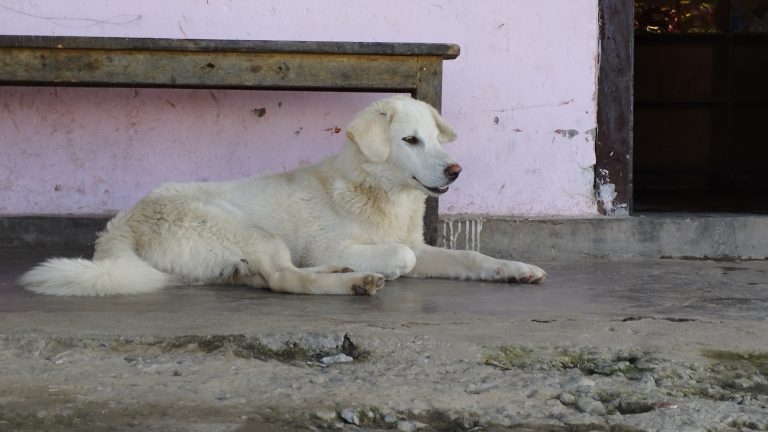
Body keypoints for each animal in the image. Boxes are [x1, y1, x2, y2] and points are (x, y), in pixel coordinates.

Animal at [19, 96, 544, 296]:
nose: (456, 170)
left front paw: (515, 269)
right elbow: (402, 257)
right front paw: (382, 268)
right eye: (410, 141)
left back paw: (344, 274)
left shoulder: (421, 243)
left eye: (435, 138)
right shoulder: (353, 243)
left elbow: (471, 258)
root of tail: (123, 223)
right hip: (254, 232)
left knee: (271, 278)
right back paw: (354, 281)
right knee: (285, 279)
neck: (378, 192)